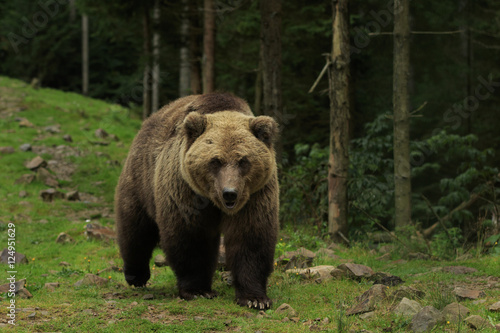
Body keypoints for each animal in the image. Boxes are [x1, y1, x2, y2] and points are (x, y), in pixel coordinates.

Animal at [116, 91, 280, 308]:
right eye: (215, 160)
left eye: (243, 160)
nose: (230, 193)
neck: (214, 201)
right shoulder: (185, 189)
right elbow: (191, 236)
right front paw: (198, 290)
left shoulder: (255, 194)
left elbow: (251, 236)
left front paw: (255, 298)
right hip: (141, 179)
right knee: (135, 227)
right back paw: (136, 275)